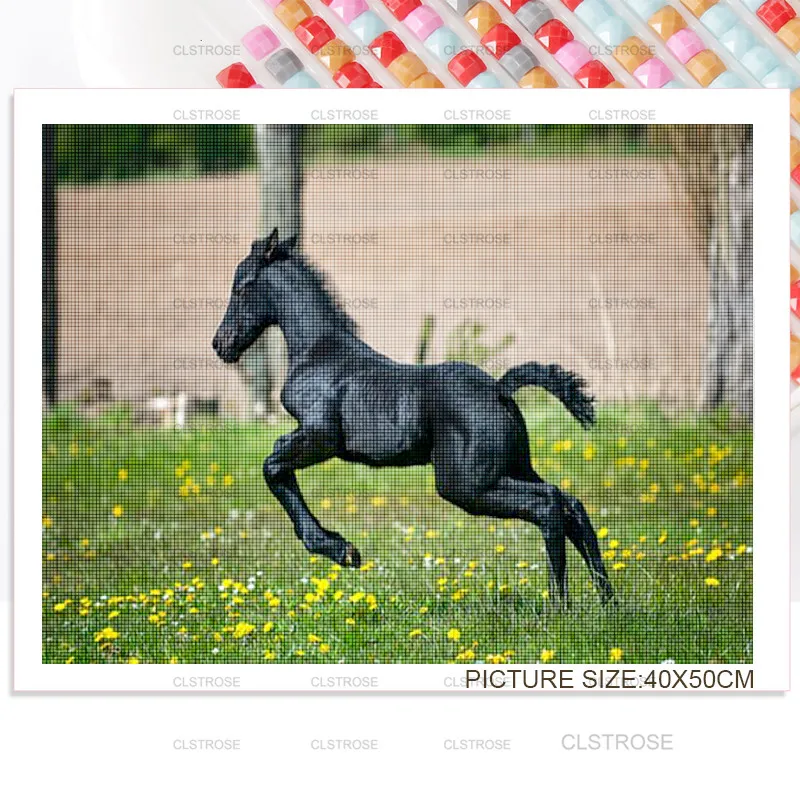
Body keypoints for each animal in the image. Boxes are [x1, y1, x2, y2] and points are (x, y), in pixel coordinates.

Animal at [212, 229, 613, 604]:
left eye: (241, 286)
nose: (220, 344)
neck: (318, 352)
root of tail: (499, 390)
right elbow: (277, 465)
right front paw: (341, 548)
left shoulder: (321, 437)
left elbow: (273, 465)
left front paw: (343, 550)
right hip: (510, 468)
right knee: (571, 504)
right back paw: (607, 600)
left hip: (465, 485)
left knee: (548, 505)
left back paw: (559, 604)